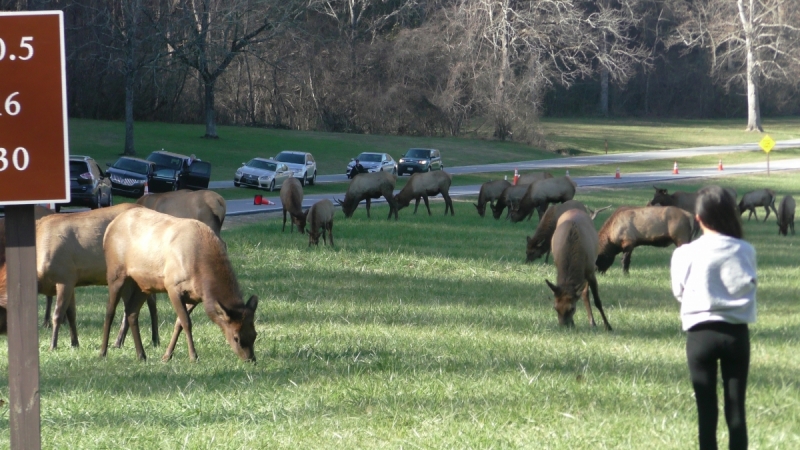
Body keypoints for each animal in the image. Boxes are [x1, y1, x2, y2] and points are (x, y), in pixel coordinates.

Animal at [99, 208, 256, 362]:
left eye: (255, 334)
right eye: (236, 338)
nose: (250, 359)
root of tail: (109, 228)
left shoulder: (195, 297)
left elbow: (179, 323)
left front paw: (167, 356)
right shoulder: (172, 287)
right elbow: (186, 322)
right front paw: (193, 356)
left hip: (144, 285)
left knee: (131, 312)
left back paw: (141, 355)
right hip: (115, 273)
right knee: (110, 310)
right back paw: (103, 352)